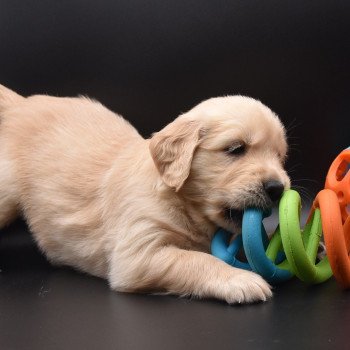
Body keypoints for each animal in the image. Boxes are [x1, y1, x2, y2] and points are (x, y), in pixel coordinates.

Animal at [0, 85, 290, 304]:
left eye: (280, 156)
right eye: (236, 149)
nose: (278, 189)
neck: (181, 202)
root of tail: (21, 104)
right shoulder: (139, 254)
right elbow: (195, 259)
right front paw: (238, 279)